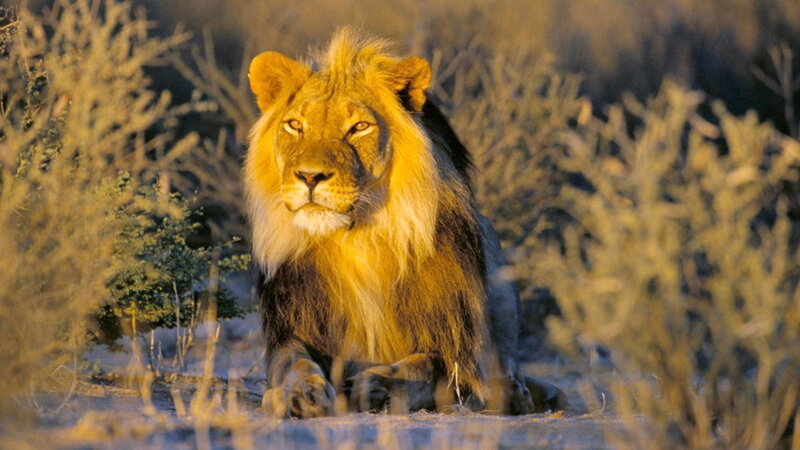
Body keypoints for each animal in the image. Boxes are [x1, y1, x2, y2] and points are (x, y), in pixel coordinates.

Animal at [244, 30, 566, 418]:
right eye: (295, 125)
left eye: (359, 127)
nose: (309, 176)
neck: (358, 239)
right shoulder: (292, 328)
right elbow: (293, 363)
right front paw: (300, 392)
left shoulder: (460, 354)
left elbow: (426, 366)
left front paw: (375, 385)